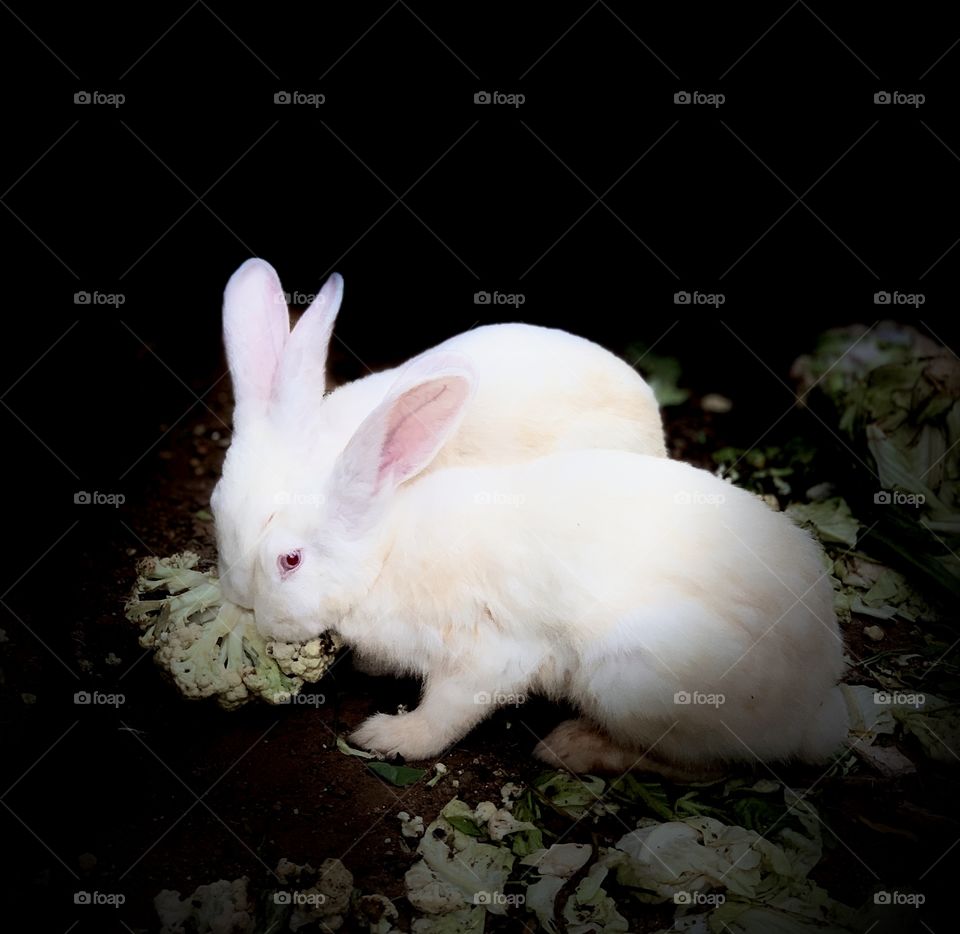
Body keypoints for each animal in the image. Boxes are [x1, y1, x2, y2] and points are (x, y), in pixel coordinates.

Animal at [250, 352, 849, 778]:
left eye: (289, 560)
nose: (259, 619)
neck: (383, 555)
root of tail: (811, 710)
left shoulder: (490, 656)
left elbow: (446, 712)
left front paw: (386, 739)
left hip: (631, 675)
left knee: (703, 769)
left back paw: (570, 748)